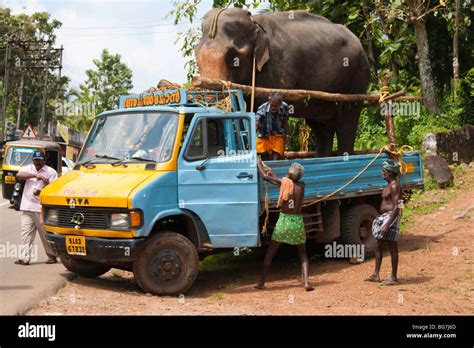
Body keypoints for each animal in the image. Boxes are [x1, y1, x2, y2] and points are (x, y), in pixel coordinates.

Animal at [194, 7, 372, 156]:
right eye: (196, 56)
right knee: (322, 128)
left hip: (359, 73)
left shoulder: (279, 67)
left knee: (346, 121)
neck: (255, 22)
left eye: (233, 57)